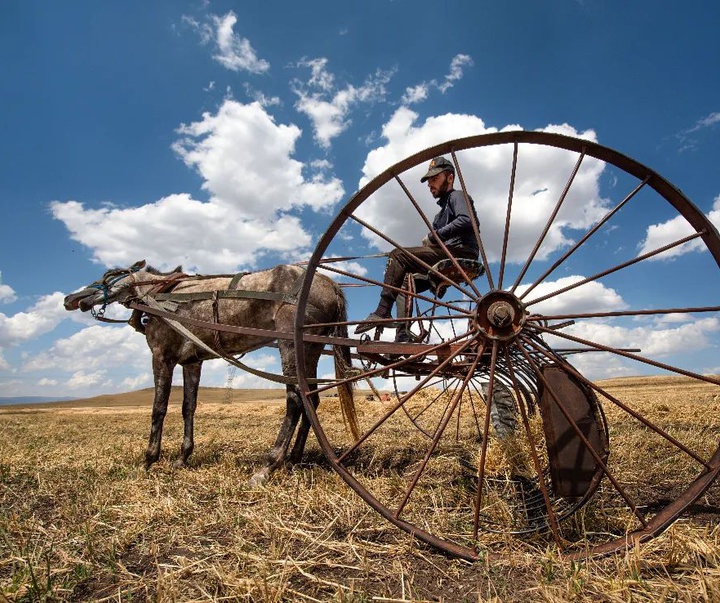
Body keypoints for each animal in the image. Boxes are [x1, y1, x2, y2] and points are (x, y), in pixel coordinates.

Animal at [63, 260, 356, 486]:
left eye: (109, 275)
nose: (70, 298)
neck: (161, 296)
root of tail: (330, 283)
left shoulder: (161, 357)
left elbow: (159, 408)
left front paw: (148, 460)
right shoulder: (192, 362)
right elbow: (188, 407)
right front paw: (182, 458)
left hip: (291, 346)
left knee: (295, 399)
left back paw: (268, 466)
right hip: (310, 348)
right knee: (311, 398)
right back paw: (293, 459)